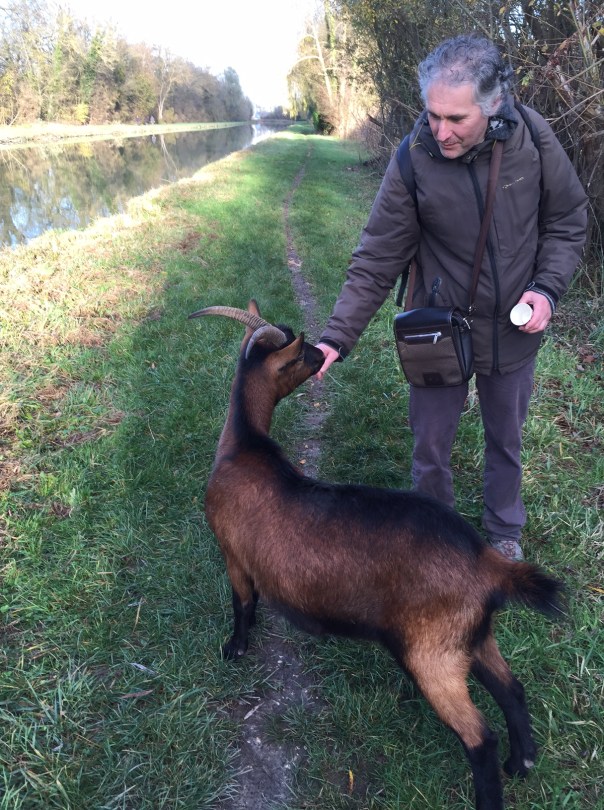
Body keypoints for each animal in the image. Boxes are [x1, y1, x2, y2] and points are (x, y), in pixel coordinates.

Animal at [189, 299, 564, 810]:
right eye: (303, 353)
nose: (324, 355)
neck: (243, 445)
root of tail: (487, 564)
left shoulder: (233, 554)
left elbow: (241, 603)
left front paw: (235, 649)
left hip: (432, 655)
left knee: (479, 737)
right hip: (472, 637)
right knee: (512, 689)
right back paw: (521, 762)